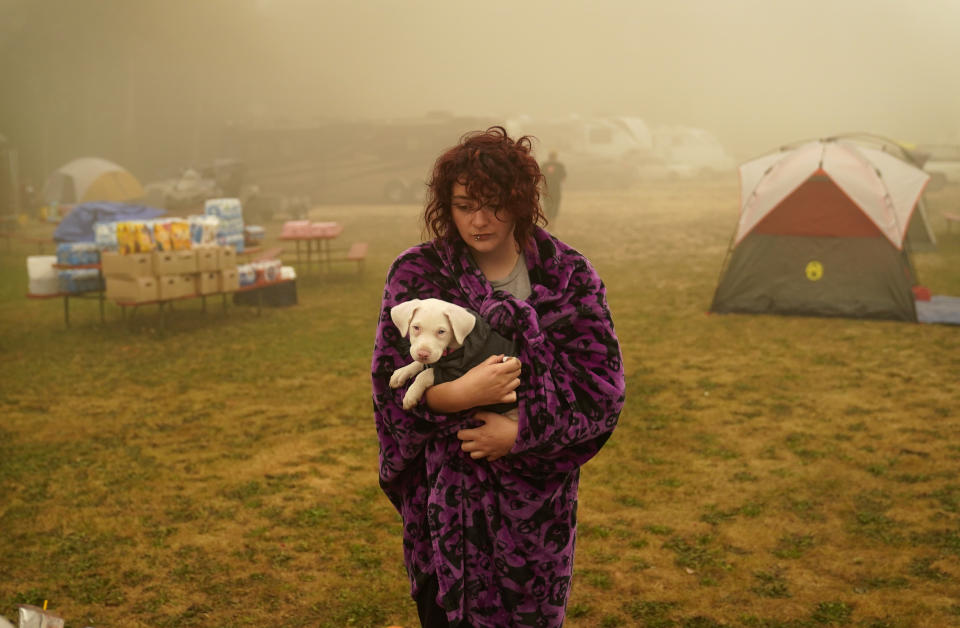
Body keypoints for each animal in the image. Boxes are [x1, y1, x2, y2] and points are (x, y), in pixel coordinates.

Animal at [392, 296, 520, 414]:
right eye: (416, 327)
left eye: (441, 332)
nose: (423, 354)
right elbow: (420, 364)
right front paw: (401, 373)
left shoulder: (457, 374)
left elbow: (426, 373)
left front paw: (411, 394)